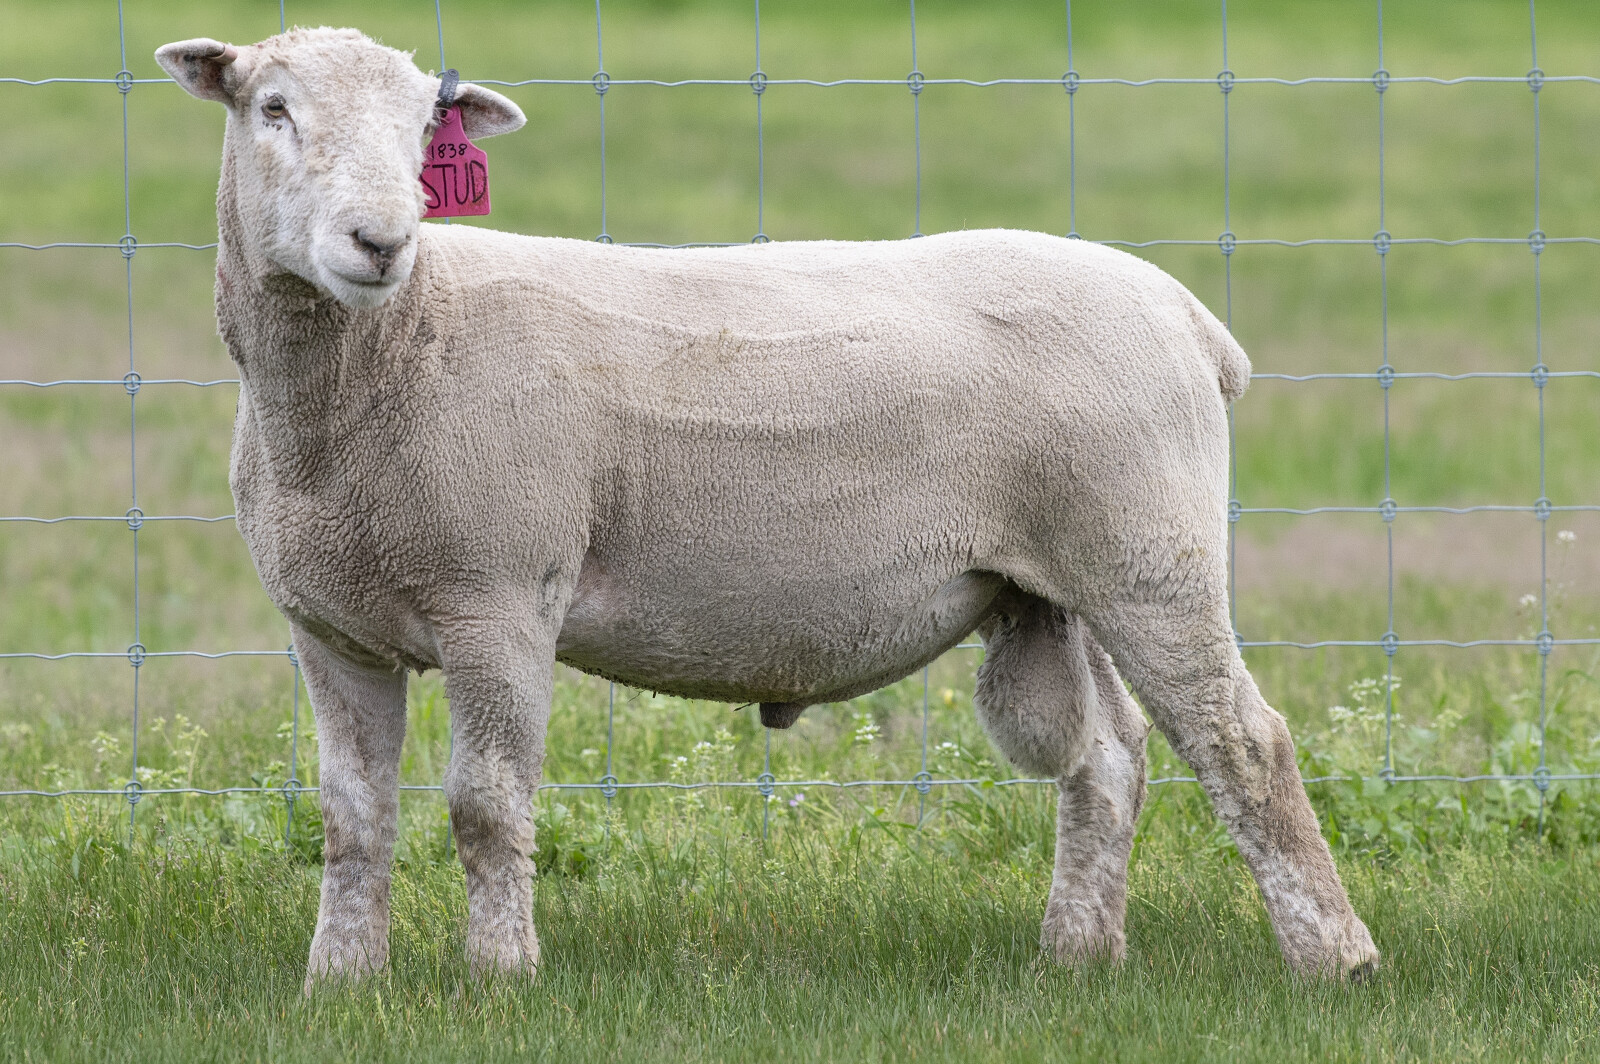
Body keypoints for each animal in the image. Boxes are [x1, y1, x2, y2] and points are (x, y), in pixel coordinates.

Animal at [155, 27, 1380, 990]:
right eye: (272, 110)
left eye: (422, 131)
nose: (381, 241)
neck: (395, 348)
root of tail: (1184, 313)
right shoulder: (330, 627)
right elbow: (350, 816)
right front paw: (340, 983)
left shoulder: (498, 599)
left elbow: (486, 805)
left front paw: (501, 979)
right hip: (1053, 580)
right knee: (1109, 759)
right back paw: (1077, 953)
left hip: (1146, 551)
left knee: (1242, 743)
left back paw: (1334, 956)